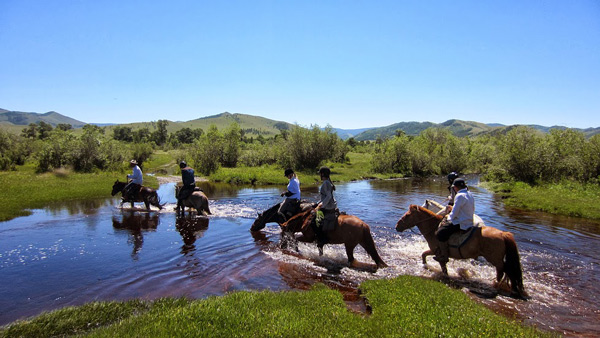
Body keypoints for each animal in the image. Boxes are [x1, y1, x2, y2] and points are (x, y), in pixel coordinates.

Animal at [396, 203, 528, 298]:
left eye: (407, 215)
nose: (397, 226)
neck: (433, 228)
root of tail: (503, 233)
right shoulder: (433, 251)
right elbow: (424, 254)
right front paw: (425, 265)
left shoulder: (438, 252)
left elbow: (442, 267)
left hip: (494, 259)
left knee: (504, 270)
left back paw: (498, 285)